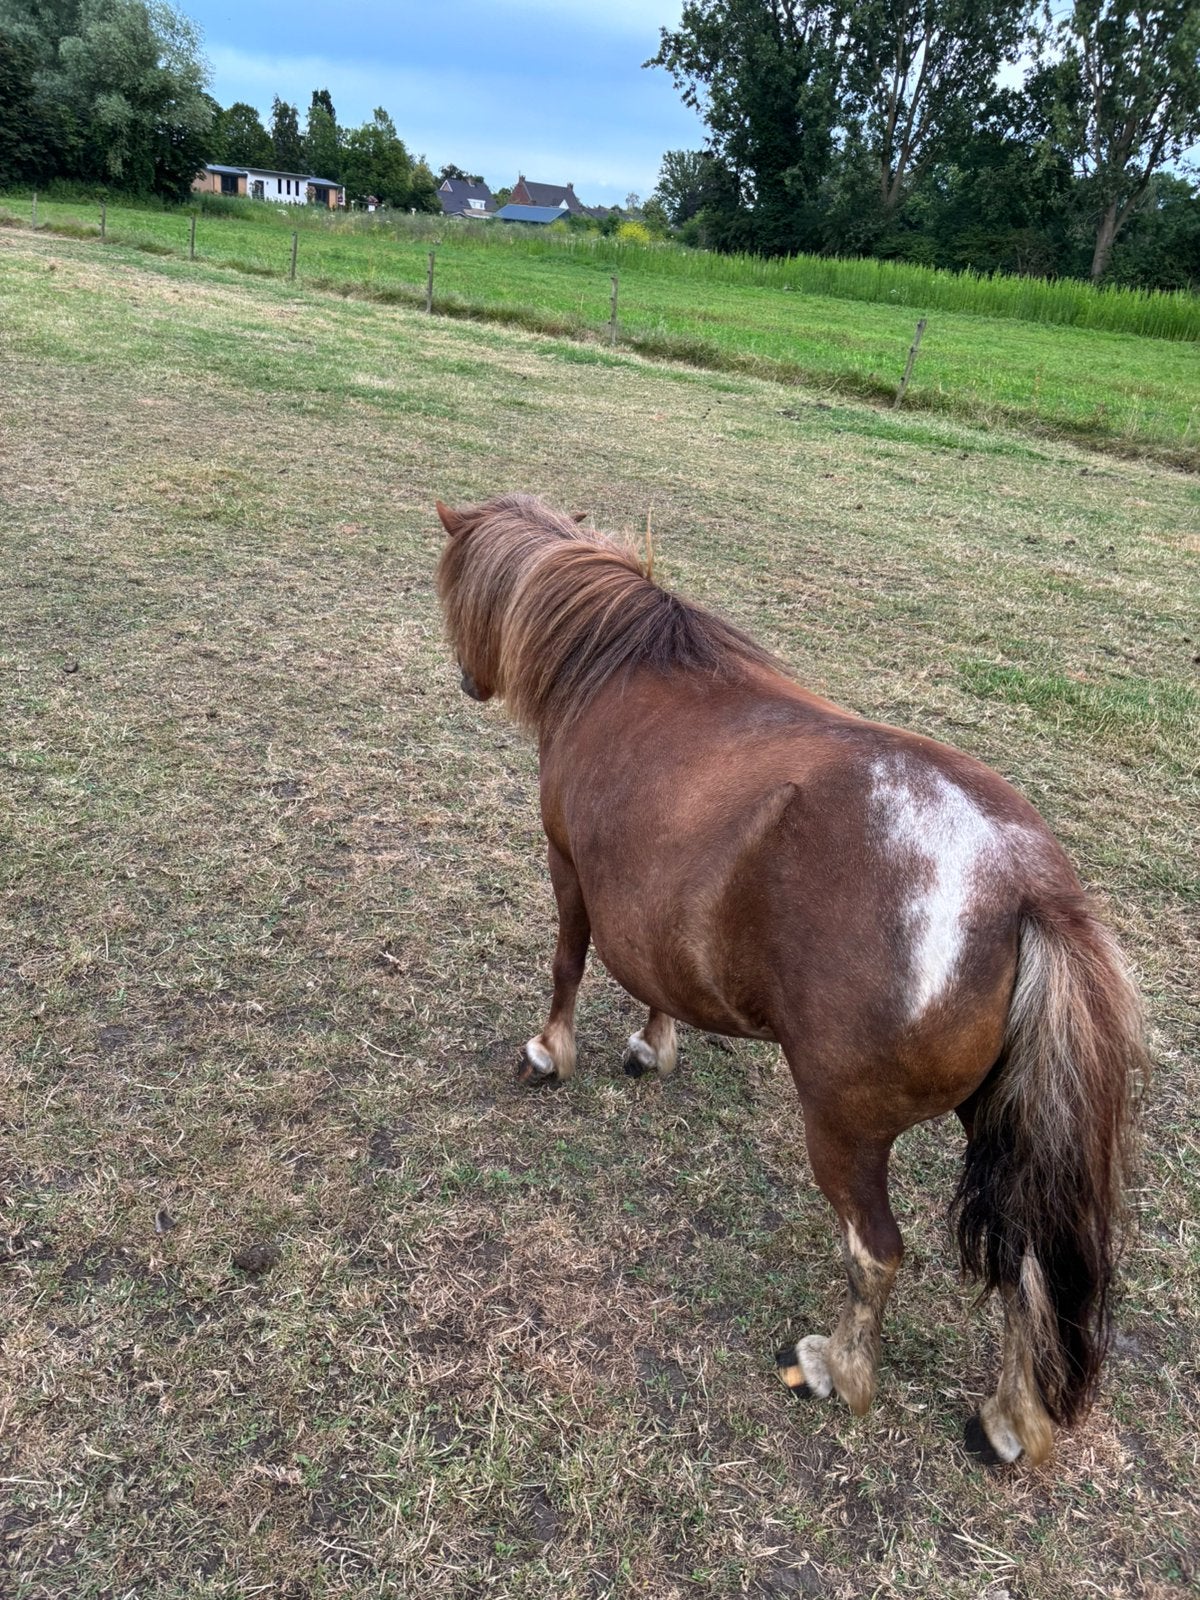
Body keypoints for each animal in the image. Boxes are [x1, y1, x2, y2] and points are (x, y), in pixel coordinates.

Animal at [434, 492, 1143, 1468]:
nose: (468, 681)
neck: (620, 666)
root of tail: (1024, 888)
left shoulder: (569, 866)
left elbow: (568, 963)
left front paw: (550, 1053)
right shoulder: (657, 902)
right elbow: (657, 978)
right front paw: (651, 1045)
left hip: (844, 1129)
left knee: (877, 1252)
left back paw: (836, 1369)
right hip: (1007, 1125)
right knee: (1024, 1261)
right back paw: (1008, 1417)